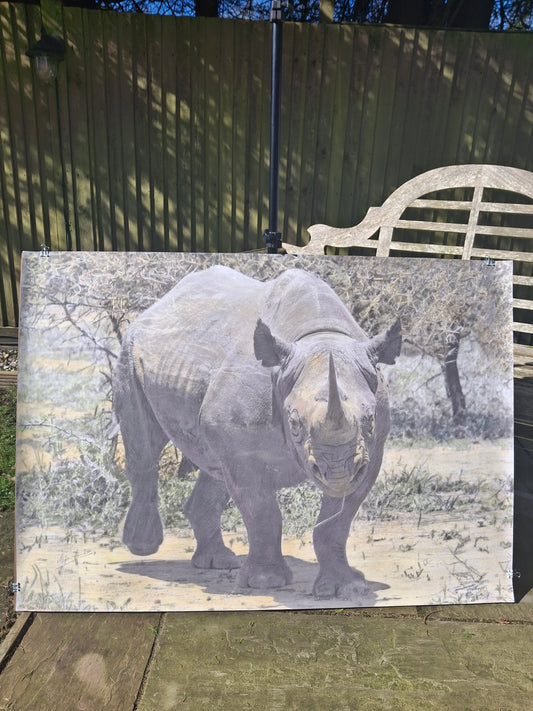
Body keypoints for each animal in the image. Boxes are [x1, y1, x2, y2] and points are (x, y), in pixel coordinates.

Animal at [113, 265, 401, 599]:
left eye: (369, 419)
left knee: (213, 465)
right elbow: (262, 512)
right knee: (144, 447)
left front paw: (347, 587)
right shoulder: (243, 448)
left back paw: (218, 563)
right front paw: (266, 582)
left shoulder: (371, 450)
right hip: (130, 350)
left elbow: (336, 522)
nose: (337, 472)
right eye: (294, 424)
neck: (320, 338)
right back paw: (143, 548)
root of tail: (157, 306)